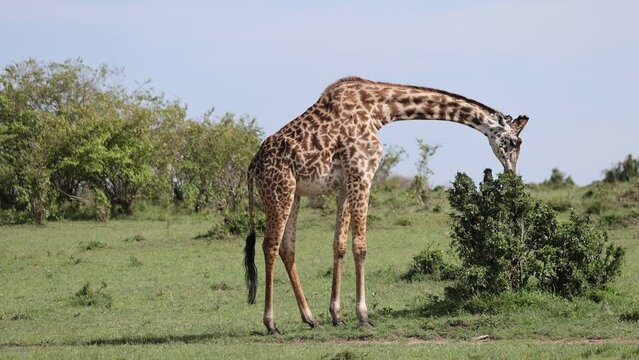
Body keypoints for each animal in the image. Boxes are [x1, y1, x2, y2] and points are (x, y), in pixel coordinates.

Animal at [242, 76, 528, 334]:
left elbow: (339, 245)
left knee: (287, 248)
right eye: (516, 142)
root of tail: (253, 165)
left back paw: (311, 319)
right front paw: (363, 316)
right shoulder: (362, 175)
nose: (512, 174)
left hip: (295, 194)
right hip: (279, 190)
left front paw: (336, 315)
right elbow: (360, 246)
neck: (380, 110)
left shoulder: (345, 184)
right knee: (270, 245)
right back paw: (271, 323)